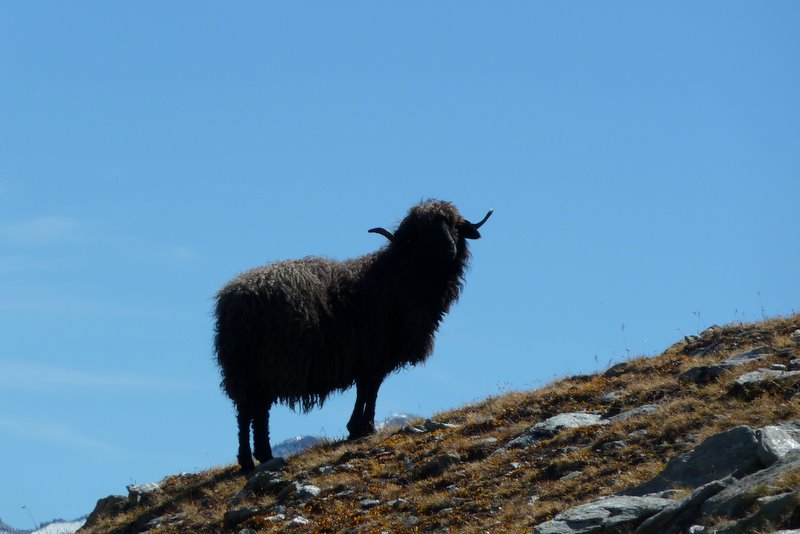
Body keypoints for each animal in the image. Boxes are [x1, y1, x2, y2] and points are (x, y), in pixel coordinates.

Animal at [214, 200, 492, 470]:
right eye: (424, 230)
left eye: (454, 225)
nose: (449, 249)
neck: (400, 276)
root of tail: (235, 301)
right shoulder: (374, 352)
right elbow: (369, 390)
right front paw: (362, 428)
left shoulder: (369, 356)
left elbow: (367, 390)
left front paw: (358, 427)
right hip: (262, 366)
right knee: (251, 412)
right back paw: (253, 458)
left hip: (244, 368)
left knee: (252, 412)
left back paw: (259, 457)